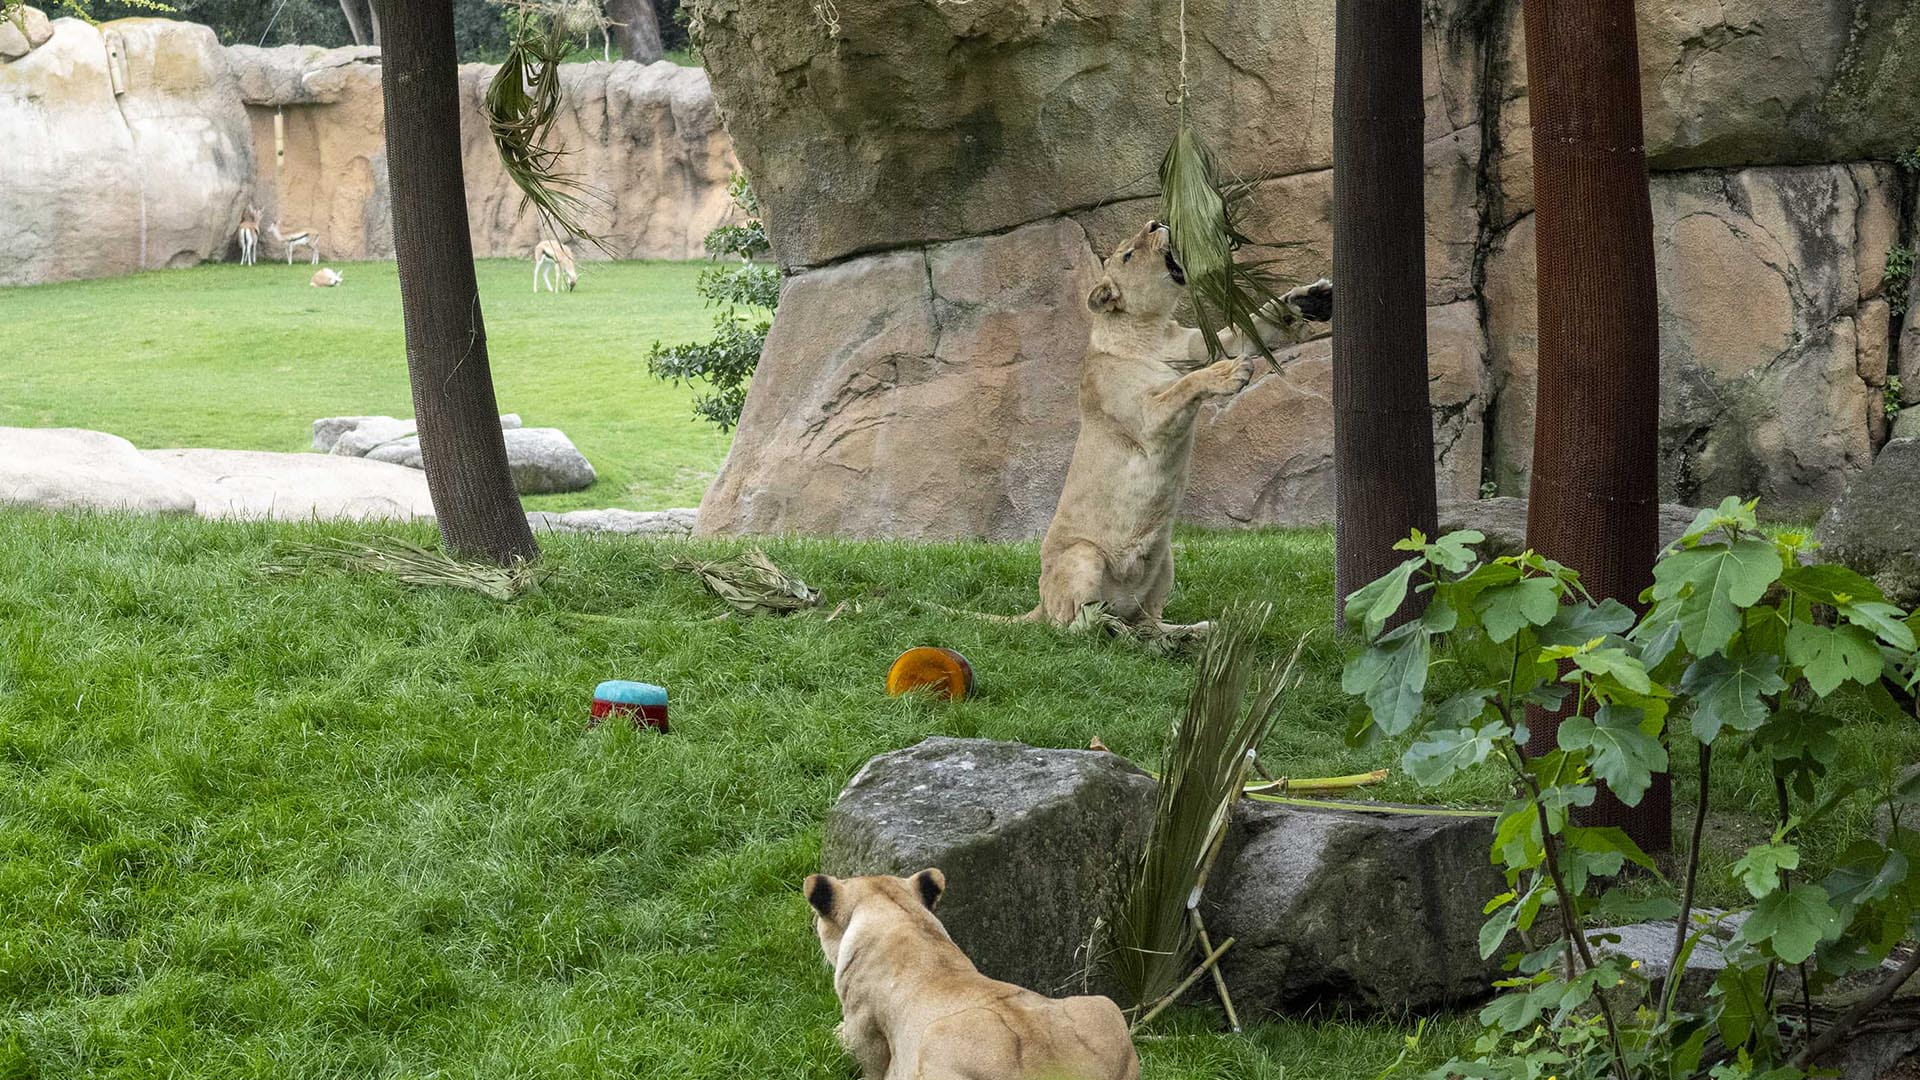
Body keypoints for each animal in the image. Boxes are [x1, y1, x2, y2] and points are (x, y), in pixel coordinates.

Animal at [1027, 219, 1332, 631]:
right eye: (1128, 254)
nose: (1155, 222)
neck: (1152, 331)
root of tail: (1040, 604)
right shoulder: (1146, 419)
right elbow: (1184, 385)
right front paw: (1231, 372)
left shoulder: (1195, 345)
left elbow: (1248, 327)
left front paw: (1311, 299)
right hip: (1082, 556)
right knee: (1073, 627)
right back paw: (1109, 627)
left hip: (1165, 559)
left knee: (1148, 624)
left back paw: (1192, 632)